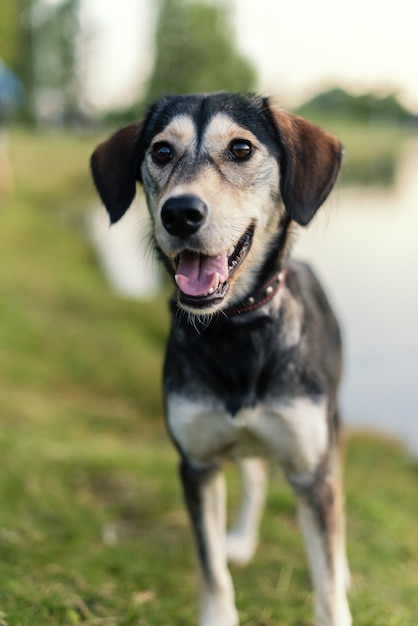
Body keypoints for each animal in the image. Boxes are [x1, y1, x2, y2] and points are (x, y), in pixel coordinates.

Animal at [92, 92, 352, 624]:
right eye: (161, 151)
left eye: (241, 148)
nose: (180, 213)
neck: (237, 330)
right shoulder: (197, 464)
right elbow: (210, 568)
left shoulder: (311, 471)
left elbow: (326, 583)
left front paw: (336, 589)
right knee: (255, 479)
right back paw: (242, 539)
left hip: (330, 428)